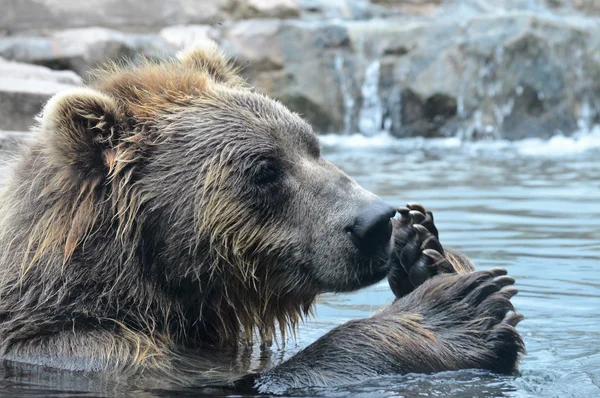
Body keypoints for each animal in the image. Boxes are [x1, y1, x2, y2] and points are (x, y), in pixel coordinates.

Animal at [0, 44, 524, 394]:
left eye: (311, 143)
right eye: (265, 169)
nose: (374, 221)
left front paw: (424, 251)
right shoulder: (97, 352)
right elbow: (263, 377)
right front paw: (457, 308)